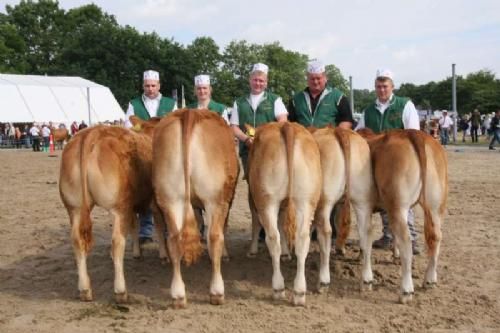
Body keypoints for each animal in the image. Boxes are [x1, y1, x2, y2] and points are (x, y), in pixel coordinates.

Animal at [58, 115, 164, 302]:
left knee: (77, 240)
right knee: (117, 242)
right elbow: (158, 225)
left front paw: (137, 252)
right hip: (118, 207)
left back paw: (85, 290)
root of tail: (90, 134)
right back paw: (120, 291)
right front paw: (163, 255)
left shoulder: (131, 204)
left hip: (74, 207)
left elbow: (135, 226)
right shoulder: (150, 201)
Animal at [151, 108, 239, 306]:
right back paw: (216, 292)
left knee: (174, 239)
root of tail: (190, 113)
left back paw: (178, 295)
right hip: (215, 199)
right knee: (214, 237)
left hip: (170, 197)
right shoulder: (227, 200)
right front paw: (226, 255)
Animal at [248, 120, 322, 304]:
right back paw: (299, 292)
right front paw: (287, 253)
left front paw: (252, 250)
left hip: (267, 200)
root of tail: (286, 126)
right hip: (307, 199)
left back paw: (278, 288)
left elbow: (256, 222)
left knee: (273, 238)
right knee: (302, 239)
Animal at [358, 127, 448, 304]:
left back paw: (406, 291)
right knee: (436, 237)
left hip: (398, 204)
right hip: (435, 206)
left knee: (407, 240)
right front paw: (395, 255)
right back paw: (430, 280)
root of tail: (413, 133)